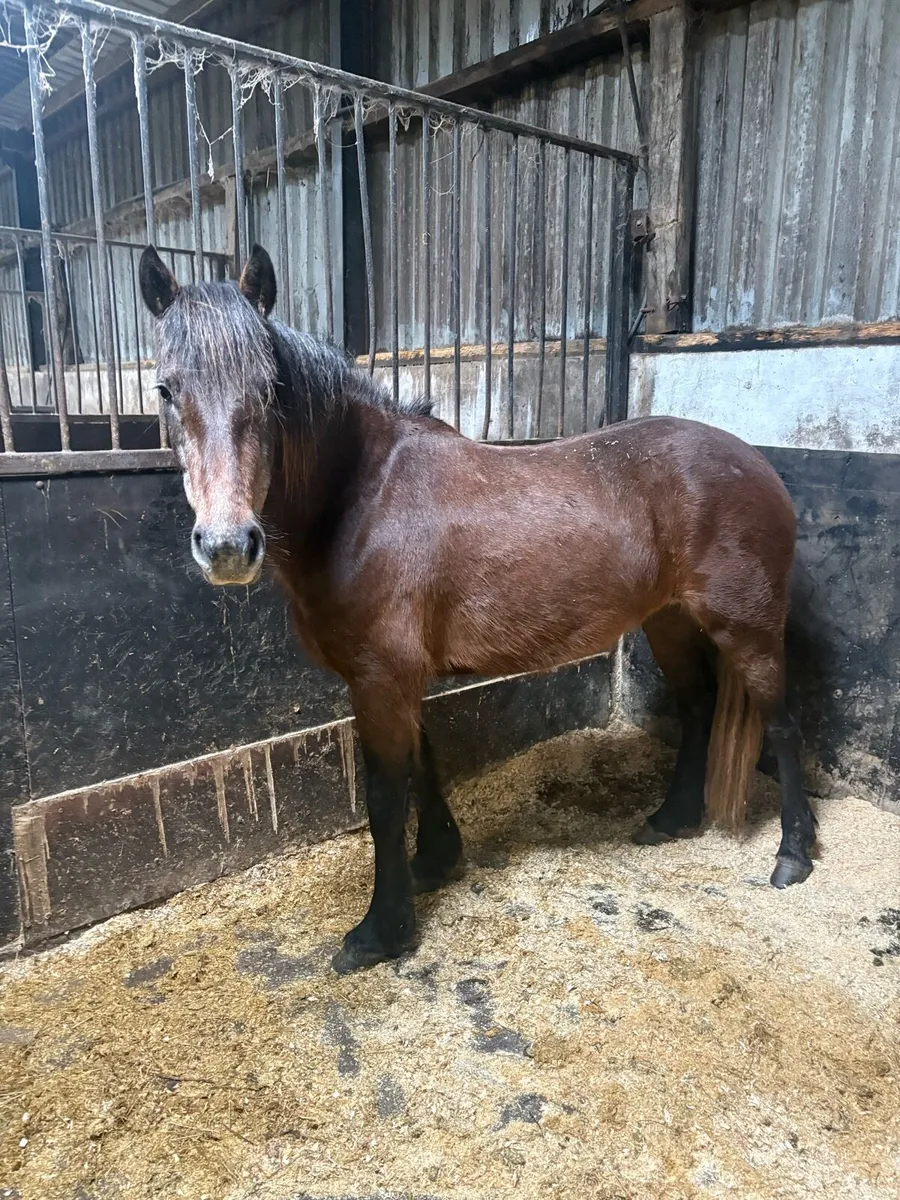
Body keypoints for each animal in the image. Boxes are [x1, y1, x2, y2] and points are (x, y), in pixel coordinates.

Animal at [139, 242, 817, 975]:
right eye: (165, 389)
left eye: (271, 388)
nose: (227, 546)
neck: (364, 500)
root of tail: (759, 464)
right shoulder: (398, 679)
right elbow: (425, 763)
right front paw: (435, 862)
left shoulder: (381, 679)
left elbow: (386, 797)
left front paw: (380, 931)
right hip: (667, 621)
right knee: (697, 707)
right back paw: (671, 819)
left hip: (747, 627)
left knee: (782, 725)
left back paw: (793, 857)